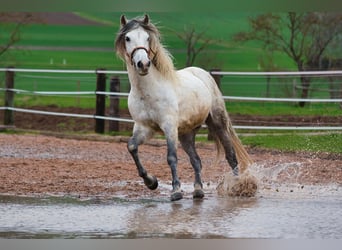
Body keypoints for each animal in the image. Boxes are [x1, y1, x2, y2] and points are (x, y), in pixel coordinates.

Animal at [114, 14, 251, 201]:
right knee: (196, 160)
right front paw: (151, 182)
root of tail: (204, 74)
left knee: (230, 155)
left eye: (148, 38)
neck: (148, 92)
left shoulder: (169, 126)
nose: (143, 64)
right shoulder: (143, 127)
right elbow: (132, 147)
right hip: (186, 134)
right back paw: (198, 190)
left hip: (218, 123)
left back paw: (237, 186)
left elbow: (171, 157)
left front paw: (176, 191)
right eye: (128, 38)